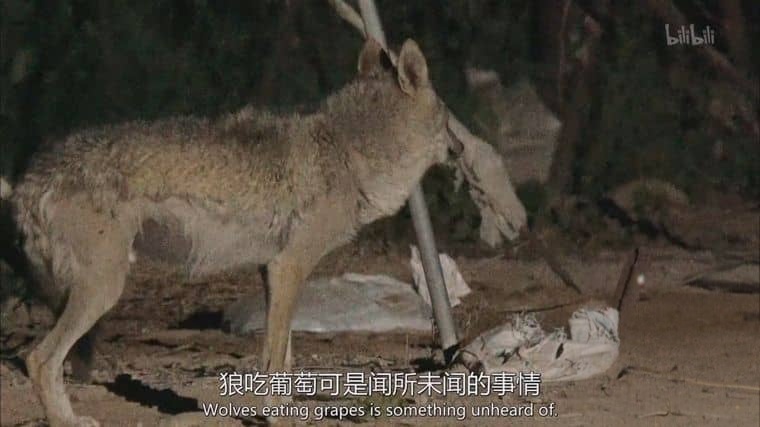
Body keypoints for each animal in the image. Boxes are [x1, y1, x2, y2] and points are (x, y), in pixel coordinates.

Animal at [5, 38, 462, 426]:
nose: (461, 148)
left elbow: (285, 357)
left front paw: (283, 410)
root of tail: (27, 182)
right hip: (104, 289)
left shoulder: (272, 271)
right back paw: (67, 420)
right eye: (448, 117)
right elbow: (274, 359)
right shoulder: (290, 267)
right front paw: (277, 416)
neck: (350, 151)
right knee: (38, 360)